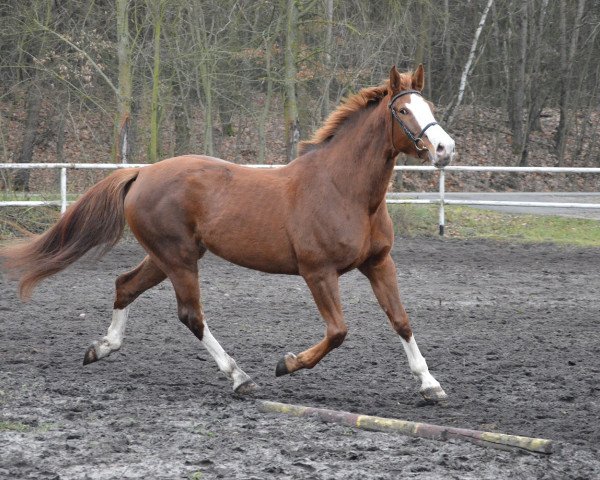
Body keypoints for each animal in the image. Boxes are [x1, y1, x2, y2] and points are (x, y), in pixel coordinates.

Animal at [0, 64, 454, 402]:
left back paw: (101, 348)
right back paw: (240, 377)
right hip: (179, 258)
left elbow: (401, 320)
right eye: (403, 111)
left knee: (124, 285)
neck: (345, 190)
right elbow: (338, 332)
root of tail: (142, 172)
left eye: (428, 104)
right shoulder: (318, 272)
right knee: (191, 315)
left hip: (167, 257)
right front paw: (286, 364)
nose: (445, 149)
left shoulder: (379, 263)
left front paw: (431, 384)